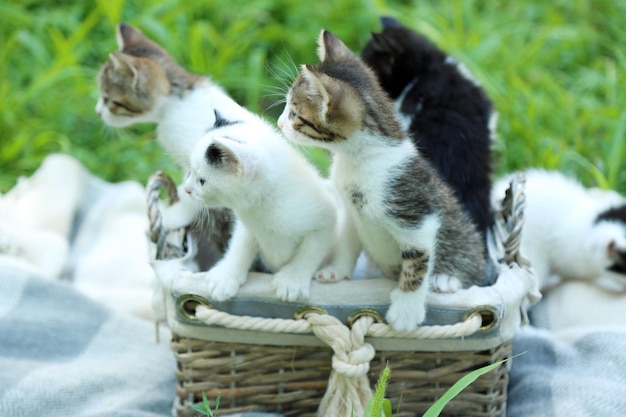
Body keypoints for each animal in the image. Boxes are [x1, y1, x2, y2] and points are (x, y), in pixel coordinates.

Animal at [172, 118, 336, 300]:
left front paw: (292, 279)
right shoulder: (248, 226)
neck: (263, 205)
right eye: (190, 172)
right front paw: (226, 276)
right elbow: (241, 245)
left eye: (202, 181)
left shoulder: (327, 217)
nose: (187, 189)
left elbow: (310, 250)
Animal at [276, 30, 486, 332]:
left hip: (466, 239)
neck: (357, 160)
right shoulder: (351, 211)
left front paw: (407, 311)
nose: (279, 123)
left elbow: (417, 262)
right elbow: (348, 243)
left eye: (294, 115)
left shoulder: (415, 215)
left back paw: (446, 279)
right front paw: (337, 271)